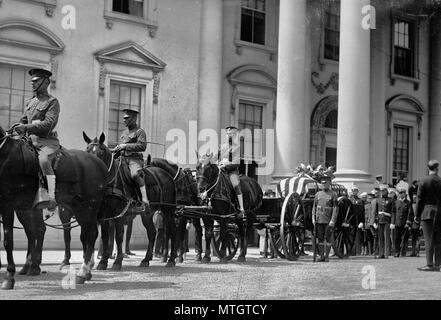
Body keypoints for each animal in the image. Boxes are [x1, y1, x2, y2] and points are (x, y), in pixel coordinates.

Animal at [0, 125, 108, 288]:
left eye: (102, 151)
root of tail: (98, 163)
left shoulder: (7, 204)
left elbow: (8, 240)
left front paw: (9, 277)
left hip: (88, 206)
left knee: (90, 234)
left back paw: (82, 273)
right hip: (78, 208)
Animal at [82, 132, 179, 268]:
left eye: (101, 153)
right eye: (87, 151)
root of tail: (167, 175)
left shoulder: (119, 213)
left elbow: (118, 236)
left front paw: (117, 261)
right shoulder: (104, 214)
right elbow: (106, 236)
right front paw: (103, 261)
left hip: (168, 209)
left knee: (173, 231)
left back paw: (171, 260)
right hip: (147, 214)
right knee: (152, 233)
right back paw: (146, 260)